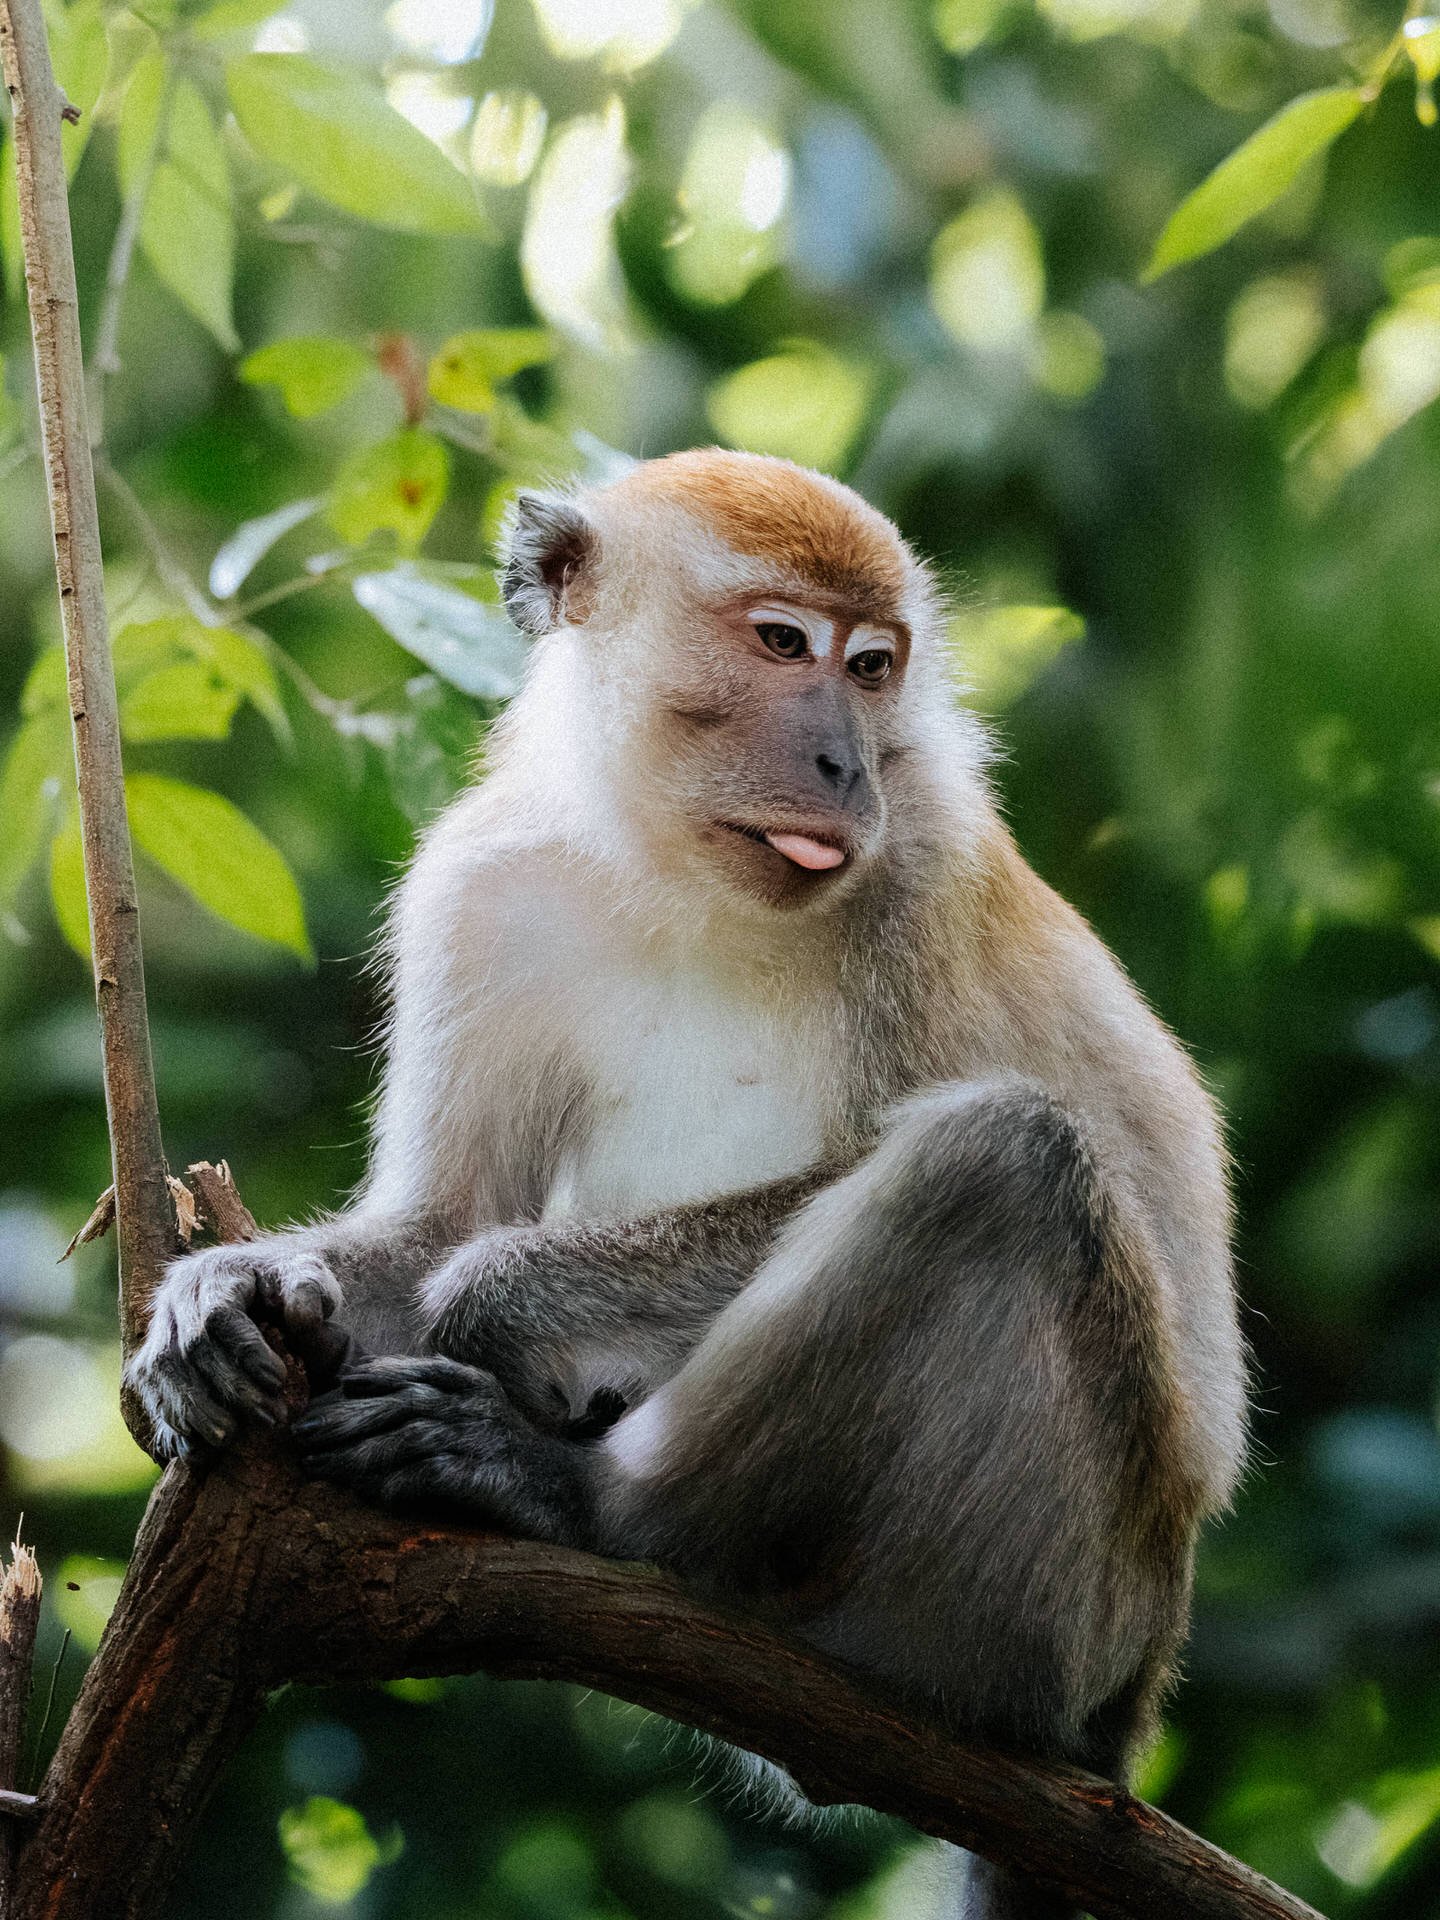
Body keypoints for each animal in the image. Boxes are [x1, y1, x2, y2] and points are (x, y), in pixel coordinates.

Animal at [129, 449, 1247, 1920]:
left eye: (872, 666)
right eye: (782, 644)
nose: (842, 759)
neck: (682, 875)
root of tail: (1130, 1701)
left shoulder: (923, 867)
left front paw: (494, 1309)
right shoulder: (481, 888)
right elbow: (439, 1219)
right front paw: (226, 1295)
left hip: (1052, 1594)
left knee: (999, 1159)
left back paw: (583, 1501)